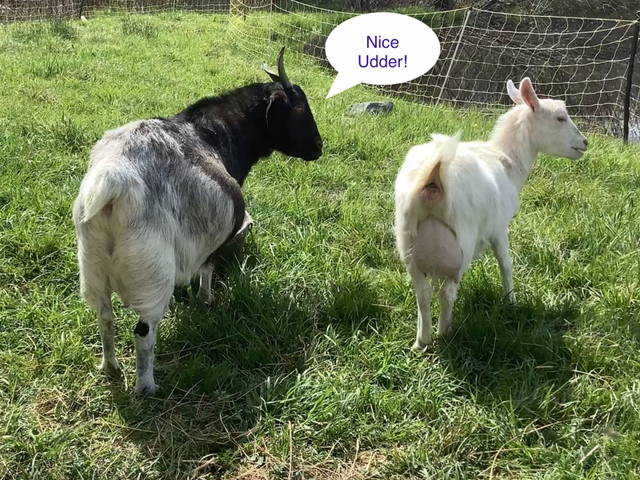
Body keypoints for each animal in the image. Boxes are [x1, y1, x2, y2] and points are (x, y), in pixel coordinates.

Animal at [73, 48, 323, 395]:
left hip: (92, 266)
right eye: (298, 106)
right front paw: (206, 300)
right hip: (151, 274)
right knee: (143, 331)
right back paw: (147, 387)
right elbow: (207, 267)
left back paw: (111, 368)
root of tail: (115, 180)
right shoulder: (215, 238)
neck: (212, 132)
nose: (319, 147)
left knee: (104, 317)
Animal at [395, 77, 588, 351]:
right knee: (446, 293)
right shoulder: (499, 228)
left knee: (423, 293)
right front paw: (511, 300)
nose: (585, 143)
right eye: (561, 118)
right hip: (463, 242)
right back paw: (445, 332)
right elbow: (506, 264)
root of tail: (432, 179)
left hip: (407, 242)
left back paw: (422, 340)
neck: (506, 160)